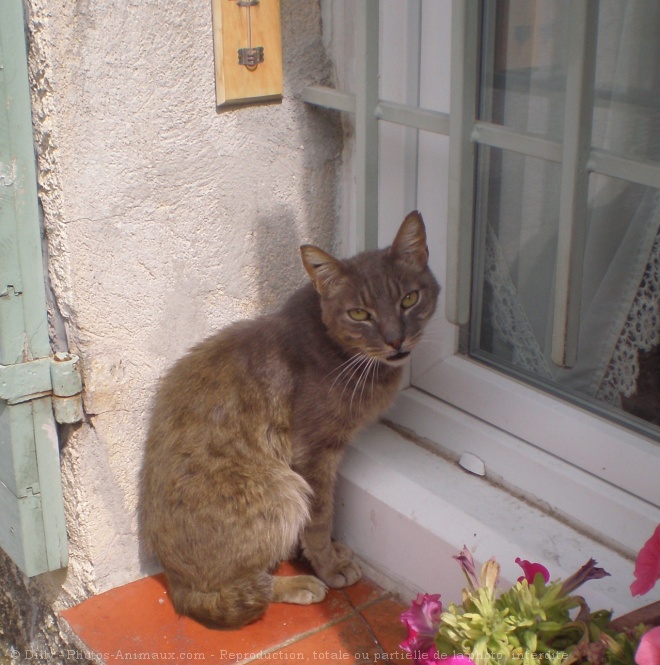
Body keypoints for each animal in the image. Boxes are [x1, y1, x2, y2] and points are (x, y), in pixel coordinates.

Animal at [139, 211, 438, 628]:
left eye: (409, 298)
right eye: (359, 314)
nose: (397, 340)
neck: (338, 350)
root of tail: (176, 586)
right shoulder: (314, 453)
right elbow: (321, 517)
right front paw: (328, 566)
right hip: (283, 490)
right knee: (241, 589)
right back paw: (298, 584)